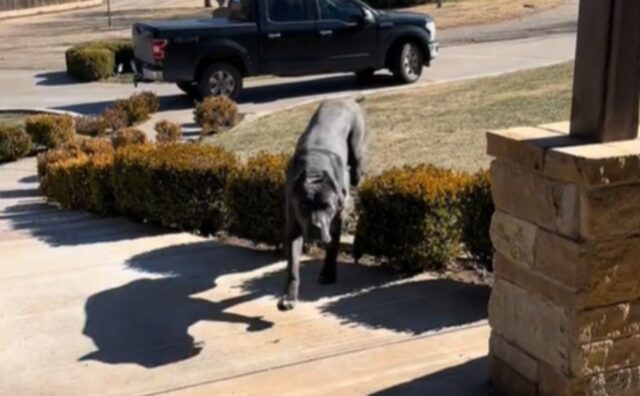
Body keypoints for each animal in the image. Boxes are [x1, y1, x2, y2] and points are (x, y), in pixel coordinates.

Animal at [278, 97, 368, 310]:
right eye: (303, 206)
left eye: (327, 206)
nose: (316, 226)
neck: (314, 171)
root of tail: (346, 99)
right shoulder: (293, 225)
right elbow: (292, 265)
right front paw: (289, 296)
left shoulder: (336, 218)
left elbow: (333, 246)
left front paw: (328, 272)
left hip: (357, 151)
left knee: (357, 172)